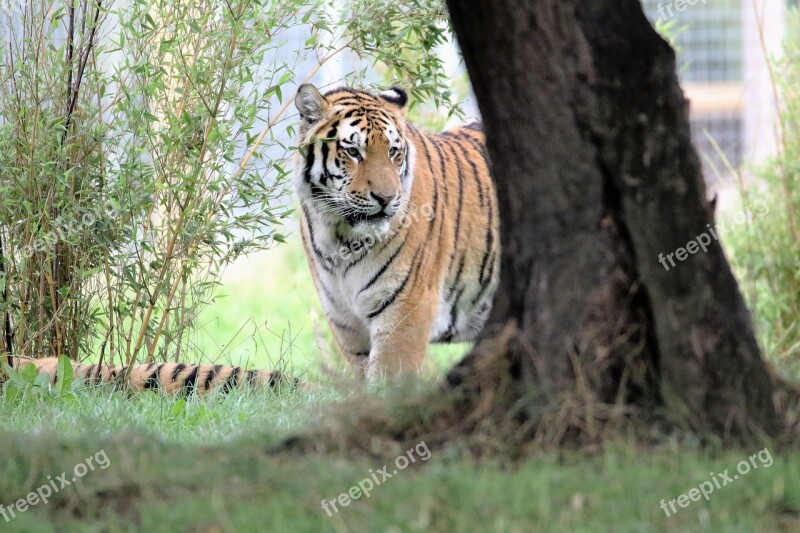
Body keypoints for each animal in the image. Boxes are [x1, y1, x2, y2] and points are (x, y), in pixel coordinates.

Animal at [294, 83, 496, 378]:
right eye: (353, 152)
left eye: (392, 151)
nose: (387, 198)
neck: (339, 236)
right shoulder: (345, 323)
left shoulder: (405, 314)